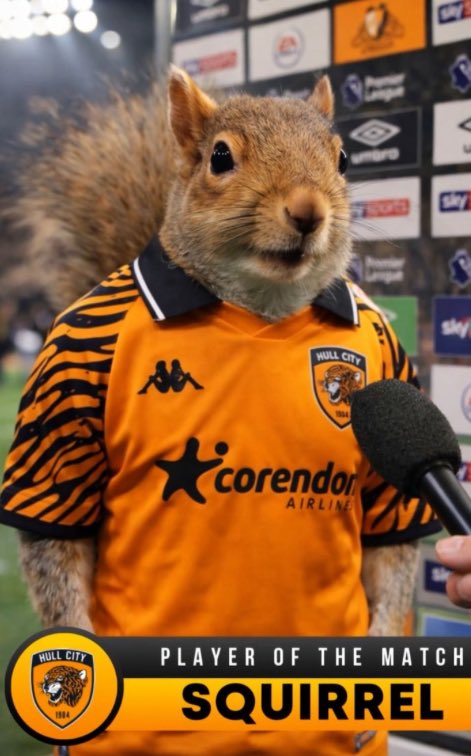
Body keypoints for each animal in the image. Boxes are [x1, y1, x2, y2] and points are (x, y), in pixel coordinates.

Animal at [1, 67, 440, 756]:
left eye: (343, 159)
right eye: (221, 158)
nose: (308, 210)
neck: (261, 306)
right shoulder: (65, 382)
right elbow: (55, 545)